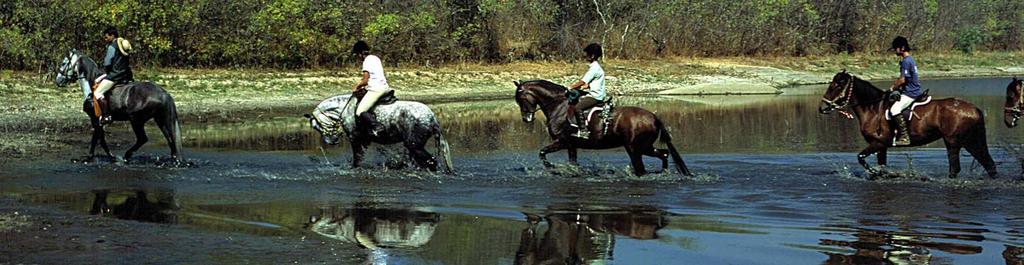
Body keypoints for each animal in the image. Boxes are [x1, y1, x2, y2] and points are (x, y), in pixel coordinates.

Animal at [54, 50, 183, 161]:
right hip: (159, 120)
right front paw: (110, 156)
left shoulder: (95, 119)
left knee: (143, 139)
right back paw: (174, 158)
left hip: (136, 120)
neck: (91, 86)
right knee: (170, 138)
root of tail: (163, 93)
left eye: (64, 63)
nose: (58, 80)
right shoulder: (98, 121)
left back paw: (127, 155)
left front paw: (91, 157)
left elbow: (97, 139)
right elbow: (100, 139)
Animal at [301, 94, 450, 173]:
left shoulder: (355, 140)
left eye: (315, 126)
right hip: (414, 147)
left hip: (414, 145)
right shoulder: (363, 142)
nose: (331, 141)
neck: (345, 108)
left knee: (432, 161)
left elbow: (357, 159)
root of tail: (432, 119)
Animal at [509, 79, 688, 178]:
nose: (526, 118)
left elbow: (542, 153)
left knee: (642, 168)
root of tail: (654, 118)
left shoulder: (562, 142)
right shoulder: (571, 145)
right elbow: (572, 163)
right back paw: (664, 173)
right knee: (664, 154)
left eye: (520, 98)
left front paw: (552, 168)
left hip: (634, 148)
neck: (558, 106)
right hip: (645, 147)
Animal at [819, 71, 995, 179]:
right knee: (989, 164)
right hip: (969, 141)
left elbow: (861, 158)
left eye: (836, 86)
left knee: (955, 168)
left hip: (953, 142)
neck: (873, 109)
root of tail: (974, 108)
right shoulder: (881, 146)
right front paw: (881, 174)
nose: (821, 108)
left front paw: (884, 174)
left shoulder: (878, 143)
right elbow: (881, 165)